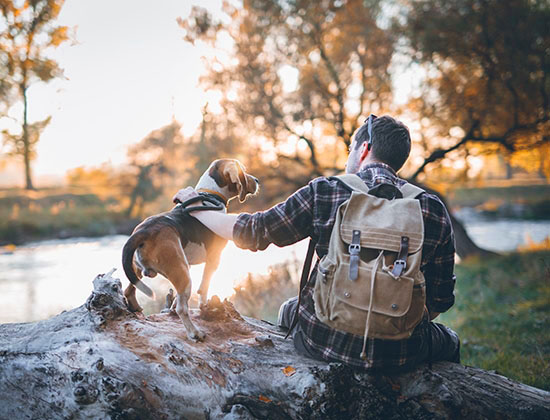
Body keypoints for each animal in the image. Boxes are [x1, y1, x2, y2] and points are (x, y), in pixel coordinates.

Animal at [122, 159, 260, 340]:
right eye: (243, 171)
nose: (257, 180)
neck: (210, 194)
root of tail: (144, 231)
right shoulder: (214, 258)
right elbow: (204, 287)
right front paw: (204, 305)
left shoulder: (189, 264)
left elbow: (178, 298)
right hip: (183, 274)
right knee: (182, 308)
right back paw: (195, 333)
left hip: (145, 270)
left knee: (129, 291)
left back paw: (135, 308)